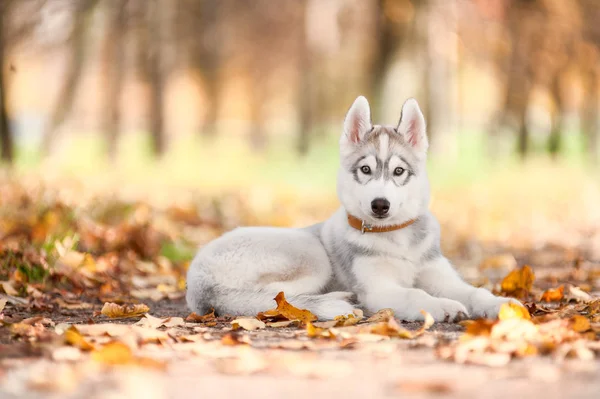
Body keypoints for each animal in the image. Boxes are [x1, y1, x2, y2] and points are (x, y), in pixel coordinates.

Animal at [185, 97, 516, 322]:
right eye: (366, 169)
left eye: (398, 171)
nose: (380, 205)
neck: (397, 239)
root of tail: (198, 283)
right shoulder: (379, 288)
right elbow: (415, 293)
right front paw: (440, 306)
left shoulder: (442, 277)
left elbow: (473, 291)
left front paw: (499, 304)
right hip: (312, 256)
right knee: (276, 299)